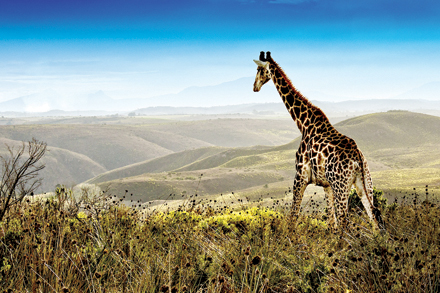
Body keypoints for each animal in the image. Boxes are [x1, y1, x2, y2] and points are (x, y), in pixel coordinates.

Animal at [253, 50, 384, 228]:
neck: (303, 123)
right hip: (364, 183)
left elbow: (293, 216)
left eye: (259, 70)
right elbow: (331, 223)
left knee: (346, 222)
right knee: (374, 216)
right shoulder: (326, 185)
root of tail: (358, 158)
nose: (255, 87)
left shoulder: (300, 175)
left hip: (341, 186)